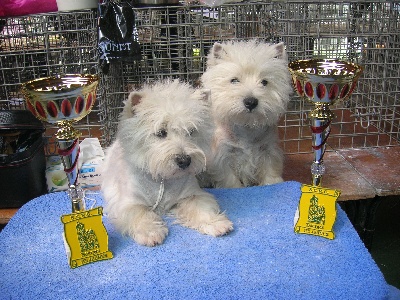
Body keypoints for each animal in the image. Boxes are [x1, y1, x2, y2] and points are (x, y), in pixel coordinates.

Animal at [101, 79, 233, 246]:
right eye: (161, 133)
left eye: (191, 131)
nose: (184, 160)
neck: (164, 178)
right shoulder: (128, 203)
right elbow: (140, 213)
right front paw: (151, 233)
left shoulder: (192, 194)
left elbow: (201, 207)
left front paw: (216, 224)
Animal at [200, 39, 290, 188]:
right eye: (234, 80)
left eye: (264, 82)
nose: (251, 102)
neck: (246, 126)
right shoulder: (223, 156)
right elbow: (231, 181)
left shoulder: (268, 150)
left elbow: (270, 172)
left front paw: (273, 183)